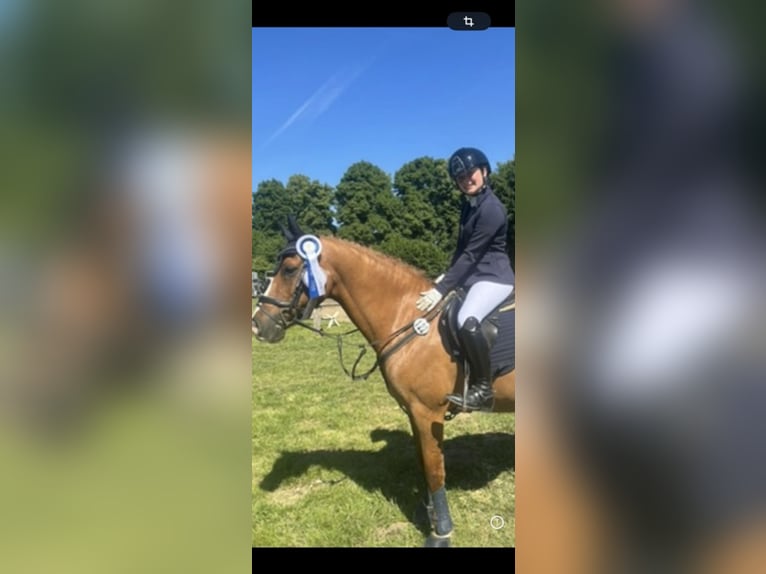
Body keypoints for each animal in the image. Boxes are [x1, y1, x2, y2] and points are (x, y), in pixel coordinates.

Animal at [252, 218, 515, 547]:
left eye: (288, 269)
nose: (258, 326)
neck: (408, 318)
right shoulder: (413, 412)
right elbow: (423, 463)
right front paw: (426, 514)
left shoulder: (427, 413)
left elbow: (434, 471)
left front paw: (441, 532)